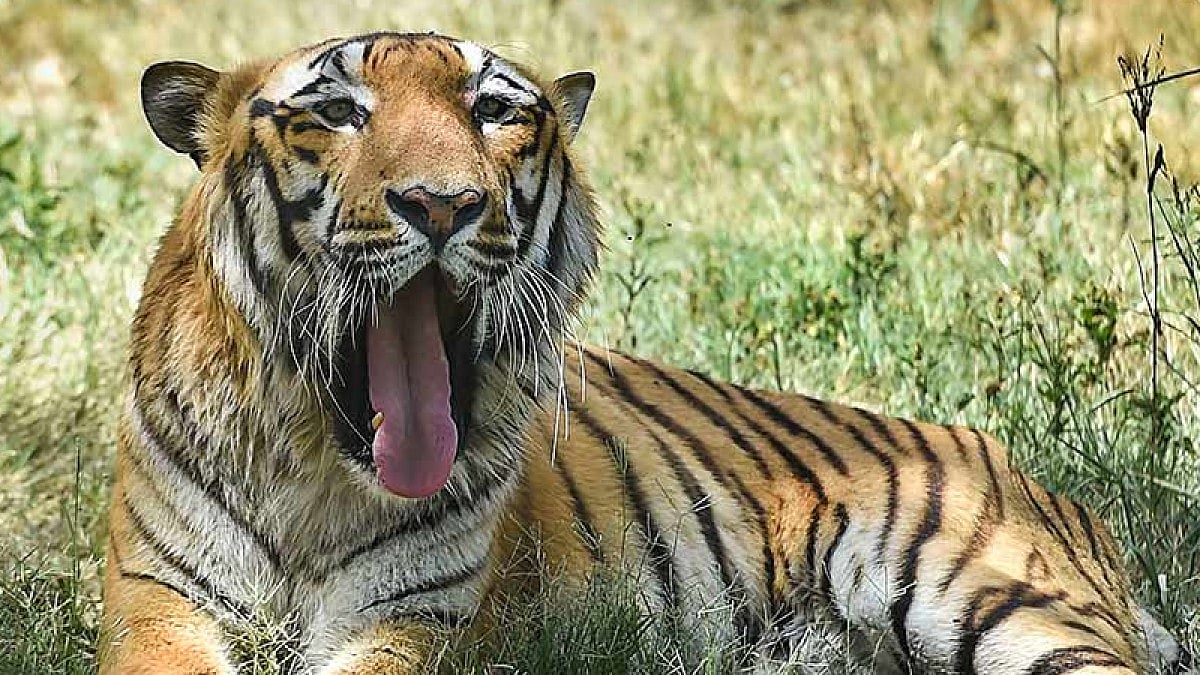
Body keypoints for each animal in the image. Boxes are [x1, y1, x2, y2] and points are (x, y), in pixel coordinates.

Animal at [99, 32, 1192, 674]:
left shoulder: (414, 619)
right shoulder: (159, 603)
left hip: (996, 592)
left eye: (494, 111)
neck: (316, 474)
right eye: (335, 113)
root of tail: (1036, 478)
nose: (443, 205)